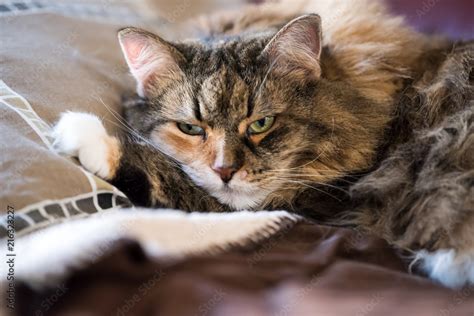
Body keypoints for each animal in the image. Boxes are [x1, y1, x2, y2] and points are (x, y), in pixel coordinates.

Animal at [52, 0, 474, 286]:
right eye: (190, 128)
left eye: (261, 123)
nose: (224, 170)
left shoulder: (314, 203)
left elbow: (165, 178)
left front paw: (79, 132)